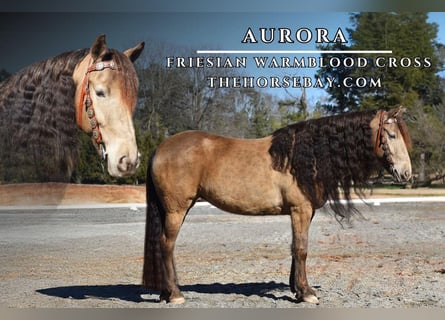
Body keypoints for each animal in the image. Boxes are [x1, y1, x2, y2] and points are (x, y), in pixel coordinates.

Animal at [141, 107, 410, 302]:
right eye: (392, 135)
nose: (406, 174)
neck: (306, 156)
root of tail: (160, 148)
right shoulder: (300, 210)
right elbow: (301, 249)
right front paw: (307, 293)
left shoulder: (303, 212)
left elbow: (295, 249)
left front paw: (297, 289)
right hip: (176, 210)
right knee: (166, 245)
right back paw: (175, 295)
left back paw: (166, 292)